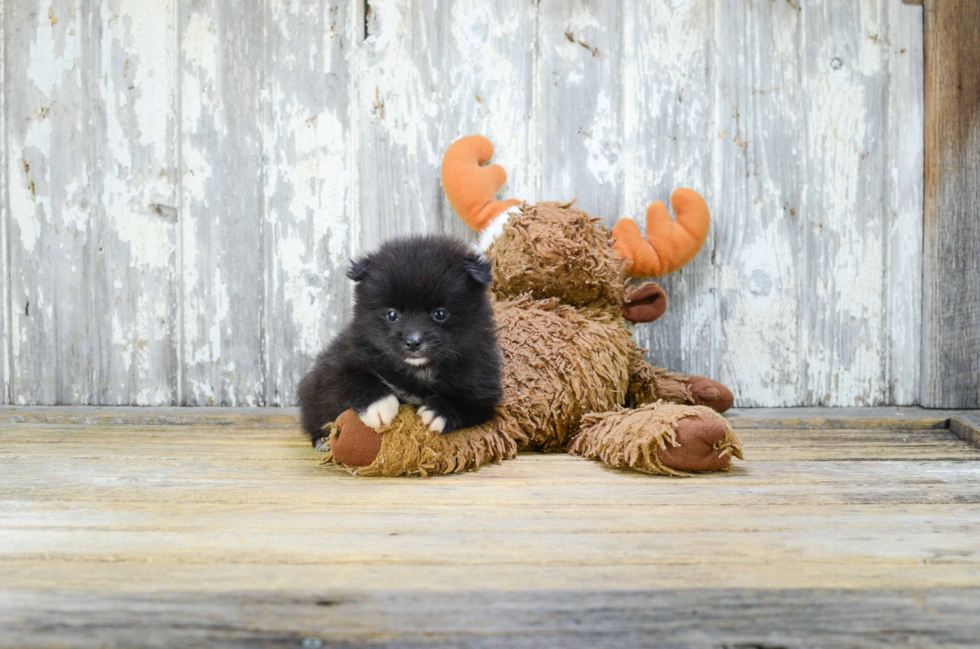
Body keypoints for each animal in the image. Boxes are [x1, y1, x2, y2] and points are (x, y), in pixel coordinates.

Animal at [294, 234, 502, 450]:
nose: (413, 342)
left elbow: (468, 404)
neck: (418, 370)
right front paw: (379, 405)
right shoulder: (338, 363)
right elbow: (351, 379)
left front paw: (439, 411)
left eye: (440, 314)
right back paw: (322, 441)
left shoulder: (483, 389)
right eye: (392, 314)